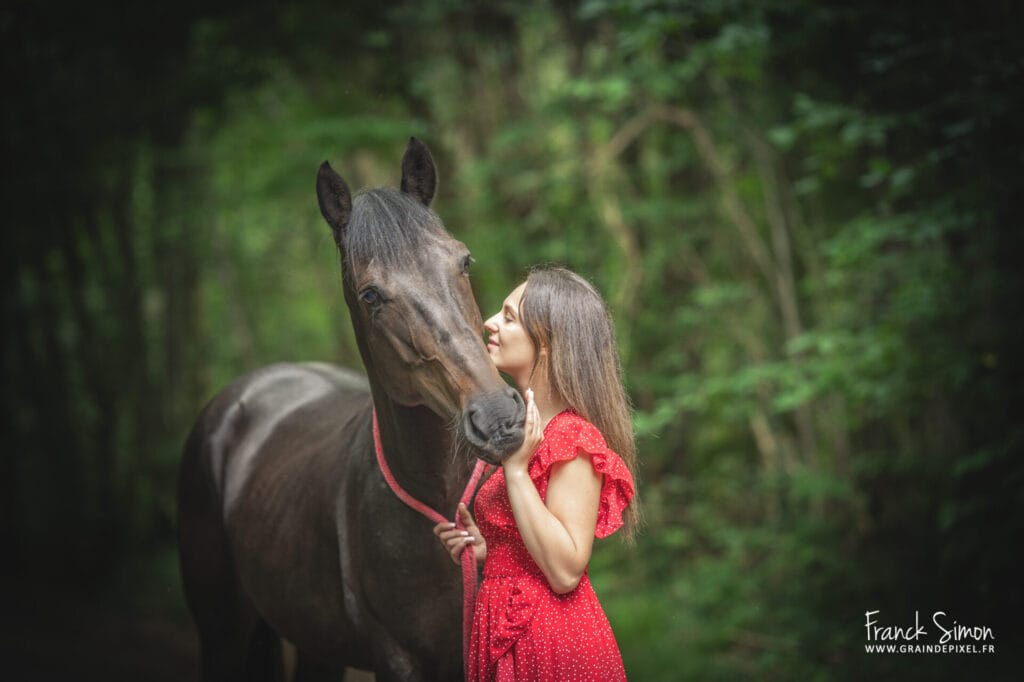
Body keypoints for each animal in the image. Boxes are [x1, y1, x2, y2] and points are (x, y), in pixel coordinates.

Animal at [177, 138, 525, 681]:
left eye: (464, 261)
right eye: (371, 295)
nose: (498, 419)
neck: (444, 511)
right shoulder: (395, 658)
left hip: (316, 642)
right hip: (222, 634)